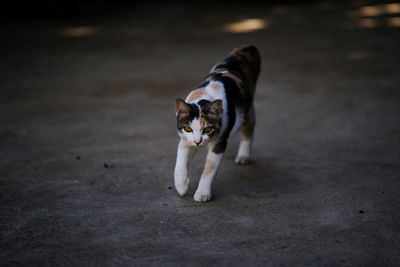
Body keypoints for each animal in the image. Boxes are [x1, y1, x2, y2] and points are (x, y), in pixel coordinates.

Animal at [173, 45, 260, 202]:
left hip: (246, 111)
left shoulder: (219, 143)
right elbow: (180, 162)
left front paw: (202, 193)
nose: (198, 142)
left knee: (249, 127)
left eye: (207, 129)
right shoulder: (185, 140)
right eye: (188, 128)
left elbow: (209, 169)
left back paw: (243, 156)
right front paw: (181, 186)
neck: (203, 98)